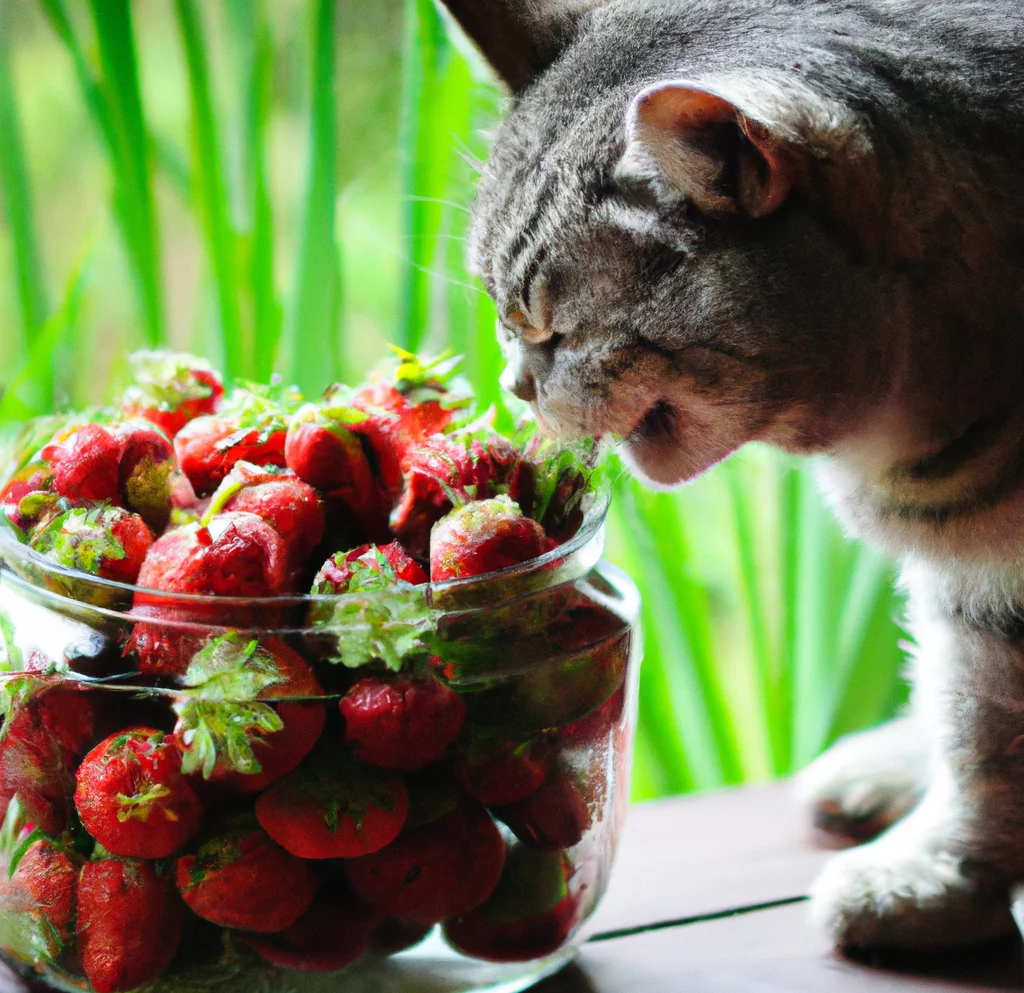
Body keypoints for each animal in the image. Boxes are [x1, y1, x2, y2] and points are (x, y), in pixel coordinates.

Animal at [440, 0, 1024, 950]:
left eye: (552, 329)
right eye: (499, 314)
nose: (514, 384)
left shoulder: (989, 582)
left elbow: (986, 748)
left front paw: (935, 880)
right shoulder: (979, 589)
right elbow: (981, 730)